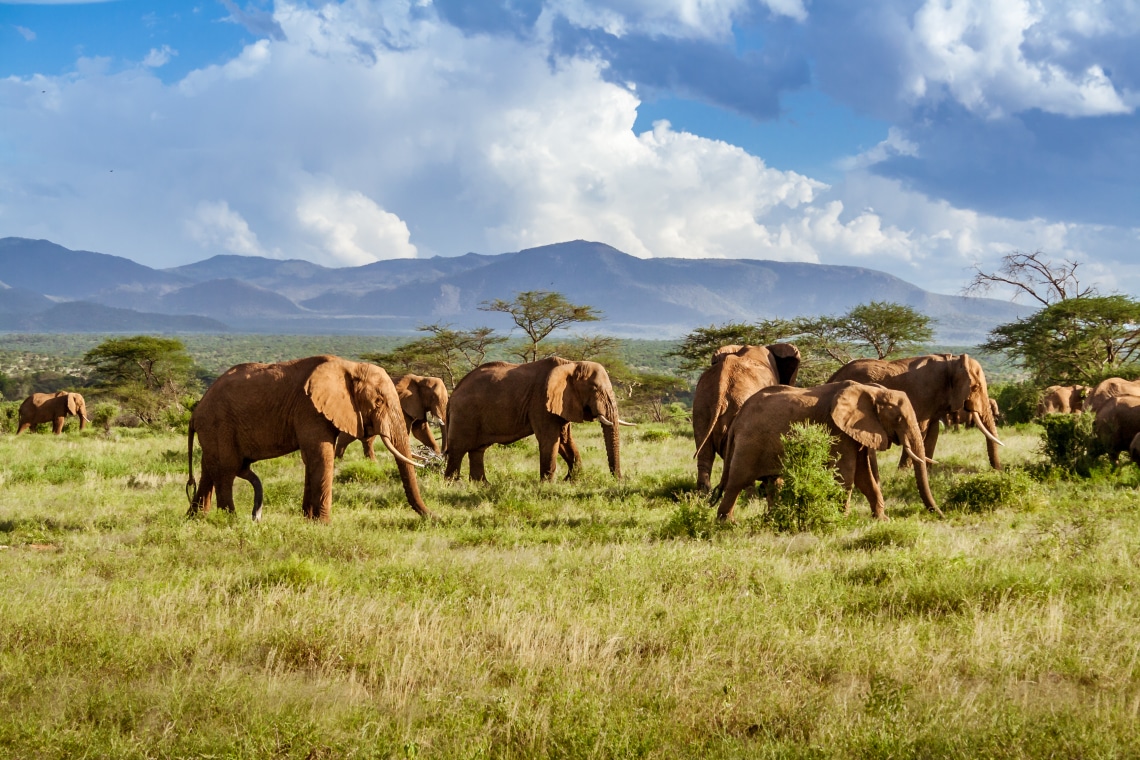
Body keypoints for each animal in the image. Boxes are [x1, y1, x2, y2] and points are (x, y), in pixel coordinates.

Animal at [186, 355, 428, 524]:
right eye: (378, 402)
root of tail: (196, 412)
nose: (431, 518)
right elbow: (321, 456)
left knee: (210, 469)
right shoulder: (310, 409)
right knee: (226, 470)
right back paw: (230, 520)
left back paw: (196, 519)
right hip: (218, 424)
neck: (349, 366)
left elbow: (311, 459)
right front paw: (324, 524)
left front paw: (308, 520)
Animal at [444, 357, 629, 480]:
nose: (618, 480)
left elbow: (565, 440)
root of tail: (454, 393)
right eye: (595, 388)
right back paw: (453, 485)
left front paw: (573, 481)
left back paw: (482, 486)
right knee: (458, 449)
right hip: (464, 414)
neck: (571, 364)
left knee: (477, 450)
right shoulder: (541, 402)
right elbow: (550, 439)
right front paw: (548, 485)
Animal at [715, 380, 939, 524]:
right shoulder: (837, 429)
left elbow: (864, 476)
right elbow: (846, 474)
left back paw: (772, 520)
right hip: (749, 443)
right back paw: (727, 523)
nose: (939, 514)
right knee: (737, 481)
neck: (871, 391)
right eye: (898, 418)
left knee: (773, 482)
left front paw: (883, 520)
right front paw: (842, 520)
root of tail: (737, 418)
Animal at [825, 355, 1003, 469]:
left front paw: (928, 472)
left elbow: (932, 432)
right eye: (976, 387)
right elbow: (922, 430)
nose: (997, 470)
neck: (953, 362)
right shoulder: (925, 395)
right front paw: (904, 472)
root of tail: (833, 377)